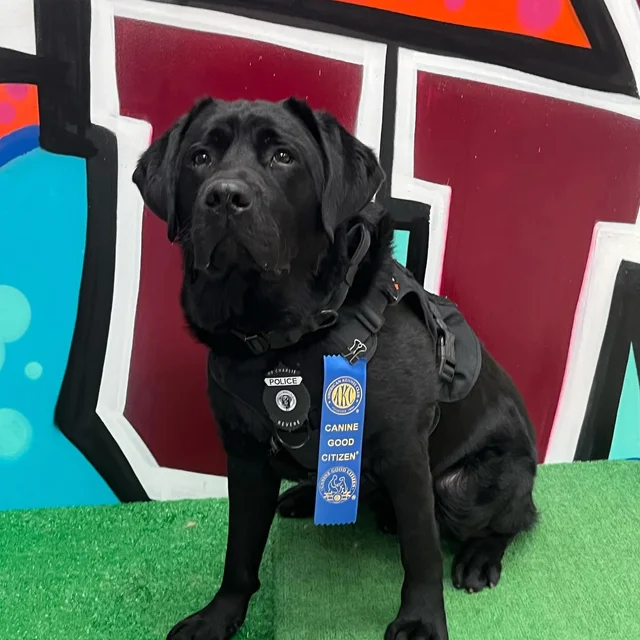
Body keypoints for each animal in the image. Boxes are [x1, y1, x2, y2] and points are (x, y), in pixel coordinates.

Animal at [132, 96, 536, 640]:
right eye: (199, 157)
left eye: (283, 156)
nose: (224, 197)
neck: (282, 339)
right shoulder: (244, 454)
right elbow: (239, 552)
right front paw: (219, 616)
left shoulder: (406, 452)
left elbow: (422, 551)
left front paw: (421, 620)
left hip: (470, 486)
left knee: (512, 519)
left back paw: (480, 557)